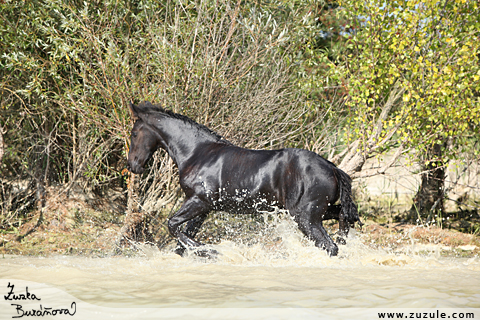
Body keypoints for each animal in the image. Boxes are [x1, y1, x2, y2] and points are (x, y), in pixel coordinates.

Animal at [126, 101, 360, 256]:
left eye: (134, 134)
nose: (132, 166)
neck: (197, 153)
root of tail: (332, 168)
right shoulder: (204, 208)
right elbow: (183, 238)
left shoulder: (199, 202)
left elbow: (173, 225)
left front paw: (209, 251)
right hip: (319, 212)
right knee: (342, 218)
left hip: (306, 217)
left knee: (330, 247)